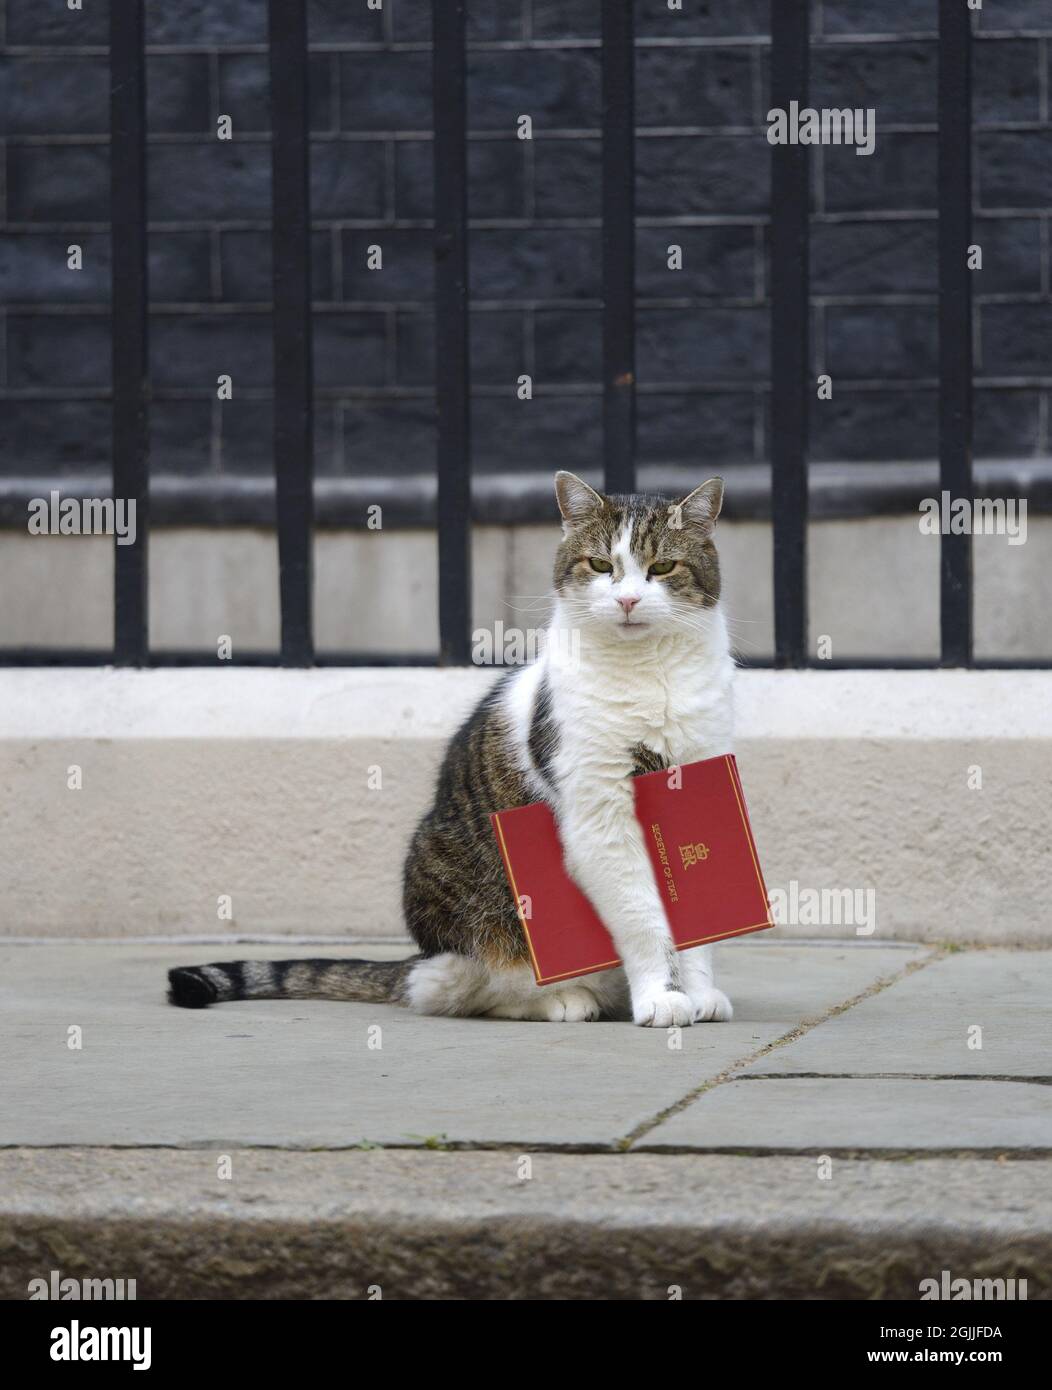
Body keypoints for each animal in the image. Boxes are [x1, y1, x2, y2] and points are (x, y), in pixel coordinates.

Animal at [168, 472, 733, 1028]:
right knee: (454, 986)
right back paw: (564, 1000)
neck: (649, 674)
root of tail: (418, 955)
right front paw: (663, 997)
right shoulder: (602, 816)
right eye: (600, 565)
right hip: (462, 897)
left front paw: (699, 992)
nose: (628, 601)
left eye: (662, 567)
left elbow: (697, 919)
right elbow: (644, 918)